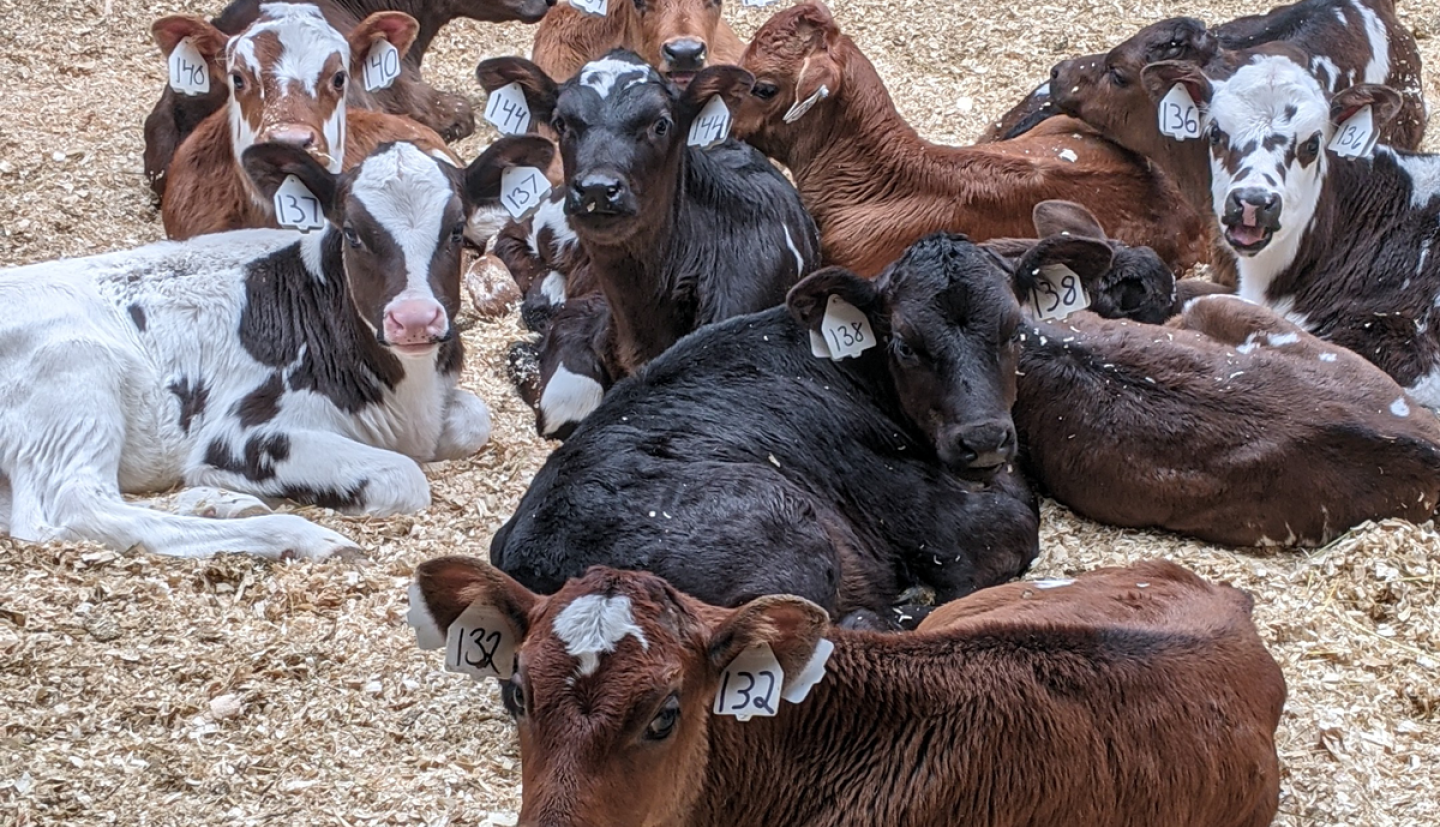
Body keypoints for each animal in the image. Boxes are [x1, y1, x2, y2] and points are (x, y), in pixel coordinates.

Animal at [0, 137, 553, 560]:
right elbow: (403, 475)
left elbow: (474, 419)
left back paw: (215, 502)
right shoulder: (241, 434)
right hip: (75, 378)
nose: (414, 319)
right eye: (352, 232)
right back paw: (296, 534)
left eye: (456, 230)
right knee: (77, 507)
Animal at [489, 233, 1044, 624]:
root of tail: (528, 559)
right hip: (788, 530)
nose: (983, 439)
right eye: (906, 345)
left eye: (1015, 330)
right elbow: (1010, 534)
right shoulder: (930, 519)